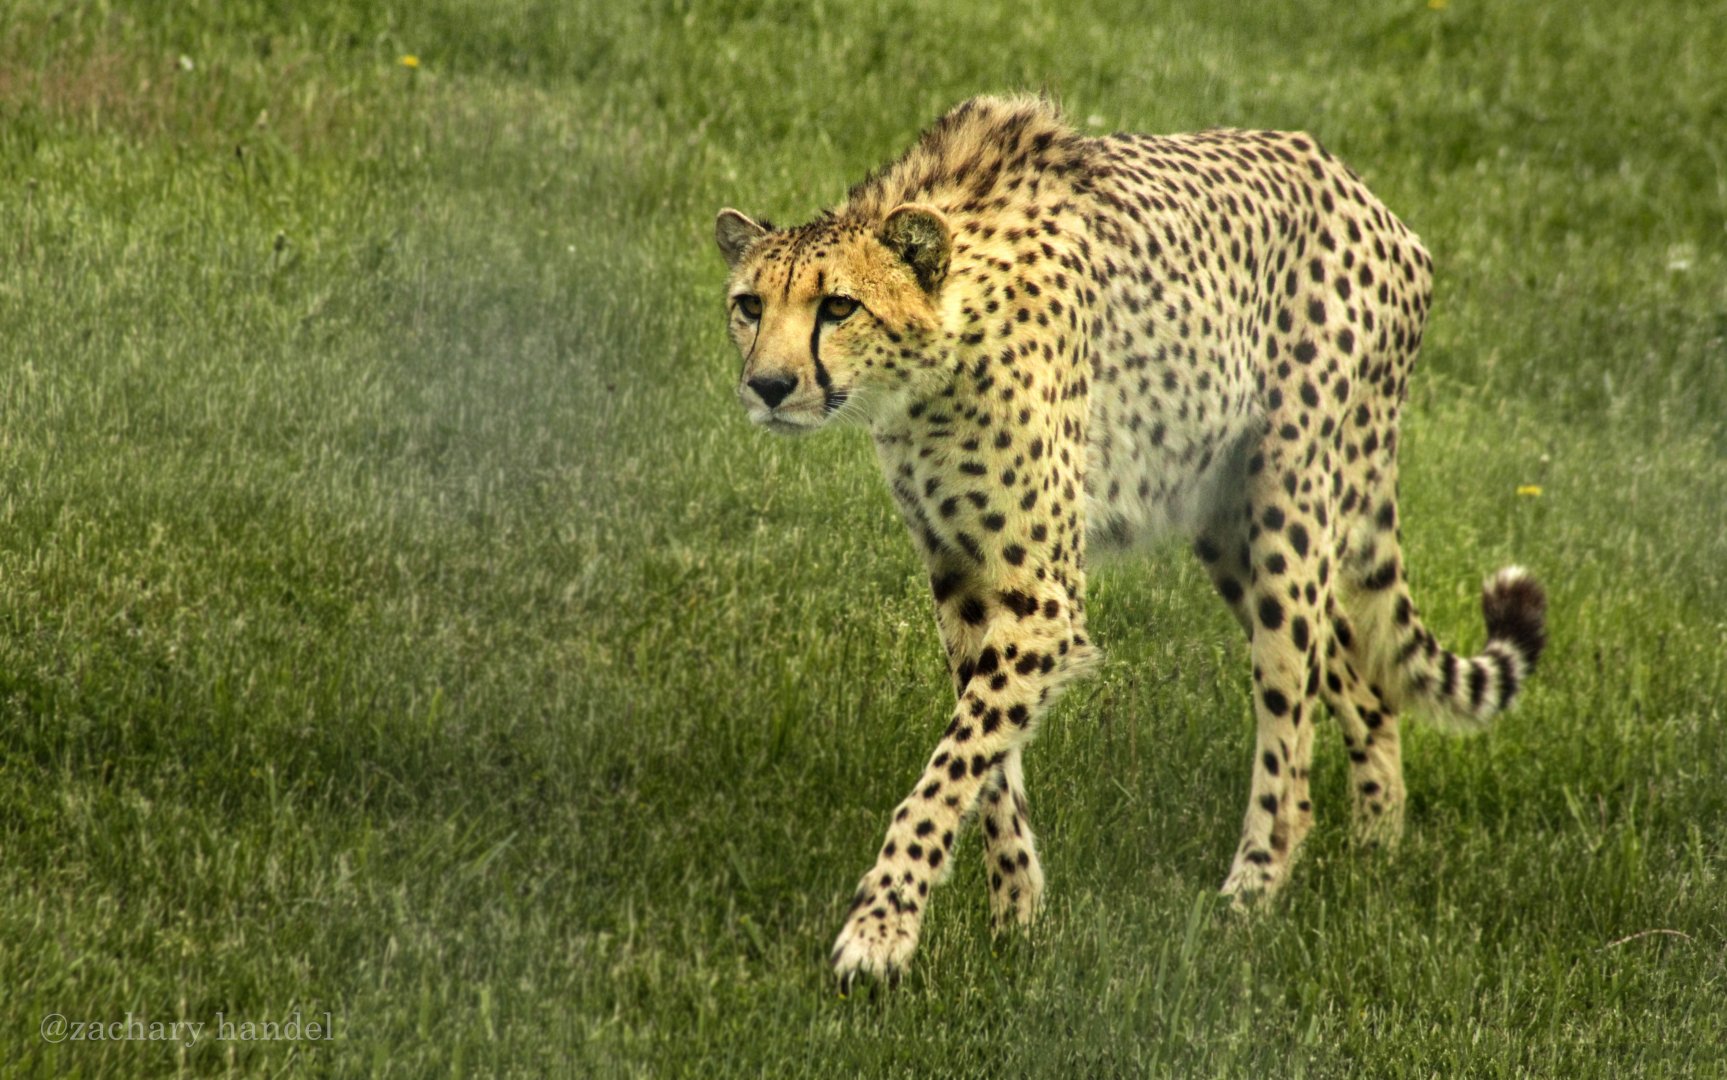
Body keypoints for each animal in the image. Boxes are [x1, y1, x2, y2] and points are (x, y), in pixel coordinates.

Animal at [712, 95, 1547, 986]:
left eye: (838, 306)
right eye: (748, 305)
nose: (768, 386)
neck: (938, 351)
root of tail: (1362, 192)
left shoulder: (1041, 602)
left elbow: (948, 770)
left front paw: (880, 930)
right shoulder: (961, 577)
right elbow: (987, 764)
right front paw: (1018, 918)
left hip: (1289, 517)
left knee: (1289, 737)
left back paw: (1248, 897)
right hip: (1227, 528)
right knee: (1361, 682)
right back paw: (1373, 852)